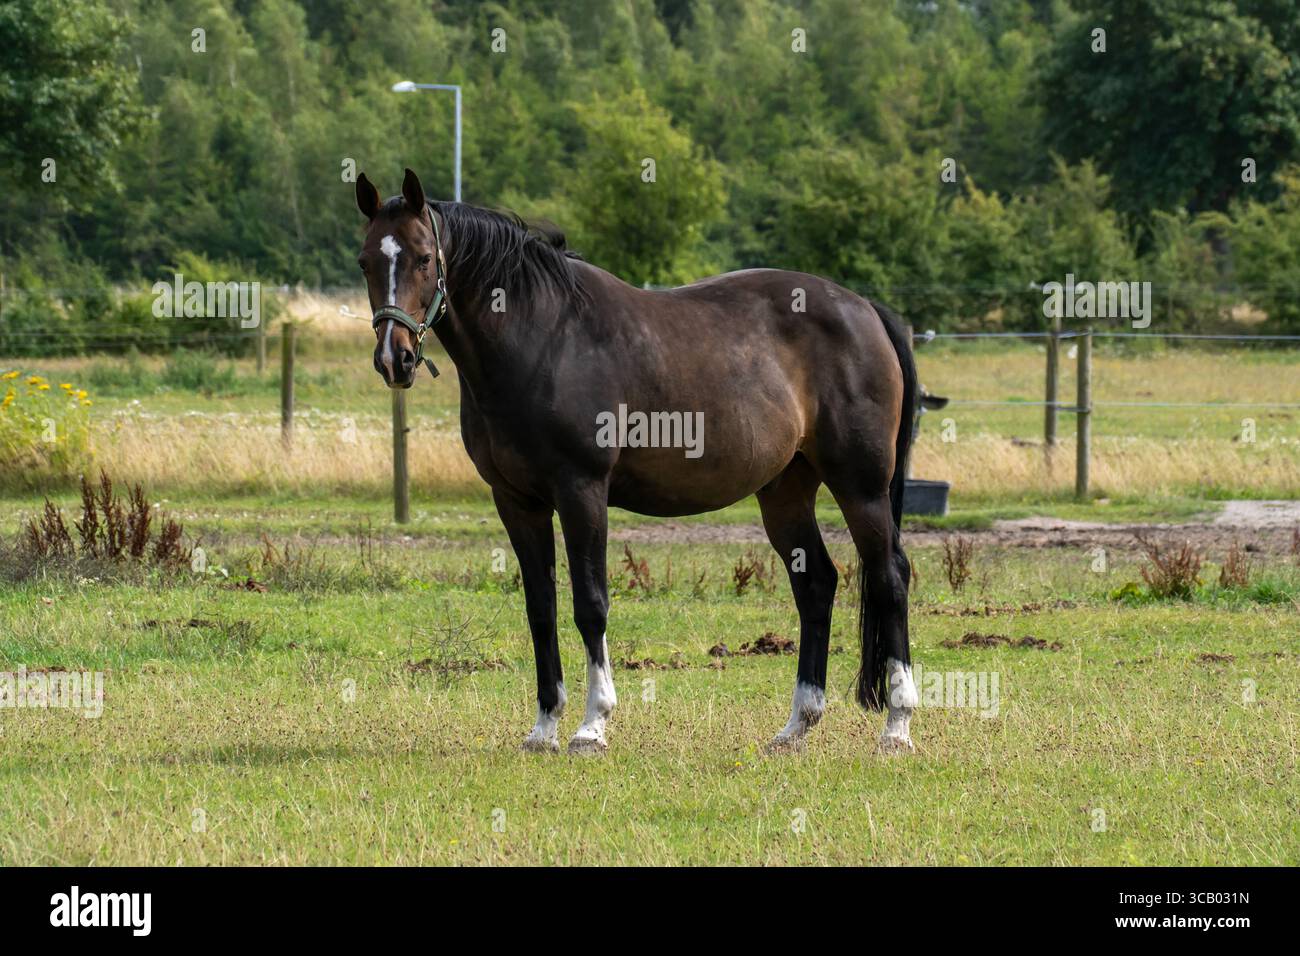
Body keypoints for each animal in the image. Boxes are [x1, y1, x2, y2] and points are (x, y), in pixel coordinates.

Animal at [355, 168, 919, 755]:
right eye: (366, 261)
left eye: (424, 257)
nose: (394, 359)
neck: (543, 338)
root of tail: (866, 310)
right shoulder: (517, 502)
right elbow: (540, 609)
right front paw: (543, 728)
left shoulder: (581, 491)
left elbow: (590, 604)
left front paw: (592, 725)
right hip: (785, 491)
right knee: (817, 585)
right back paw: (796, 726)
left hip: (861, 487)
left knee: (890, 578)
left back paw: (897, 727)